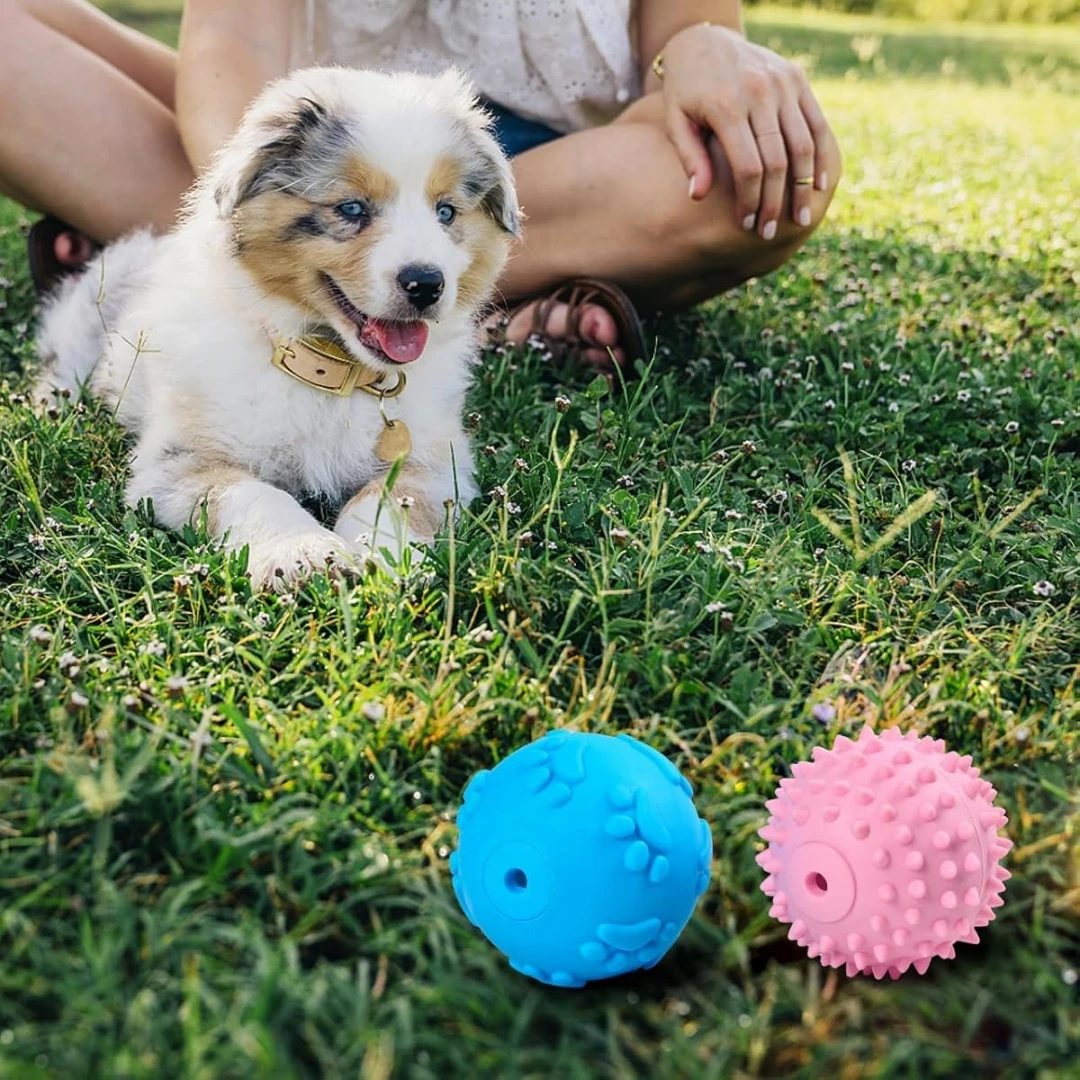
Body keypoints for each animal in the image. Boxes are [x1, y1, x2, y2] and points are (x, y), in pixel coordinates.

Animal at [33, 65, 518, 591]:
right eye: (351, 209)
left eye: (446, 212)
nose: (428, 284)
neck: (329, 371)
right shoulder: (178, 461)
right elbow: (256, 494)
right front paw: (304, 552)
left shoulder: (436, 460)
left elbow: (388, 500)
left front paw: (386, 558)